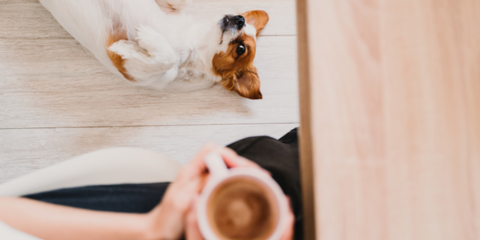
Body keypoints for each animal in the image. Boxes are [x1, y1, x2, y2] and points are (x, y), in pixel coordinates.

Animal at [38, 0, 270, 99]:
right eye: (242, 18)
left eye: (241, 49)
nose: (240, 19)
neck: (190, 41)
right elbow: (180, 3)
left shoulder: (127, 68)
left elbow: (168, 61)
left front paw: (142, 38)